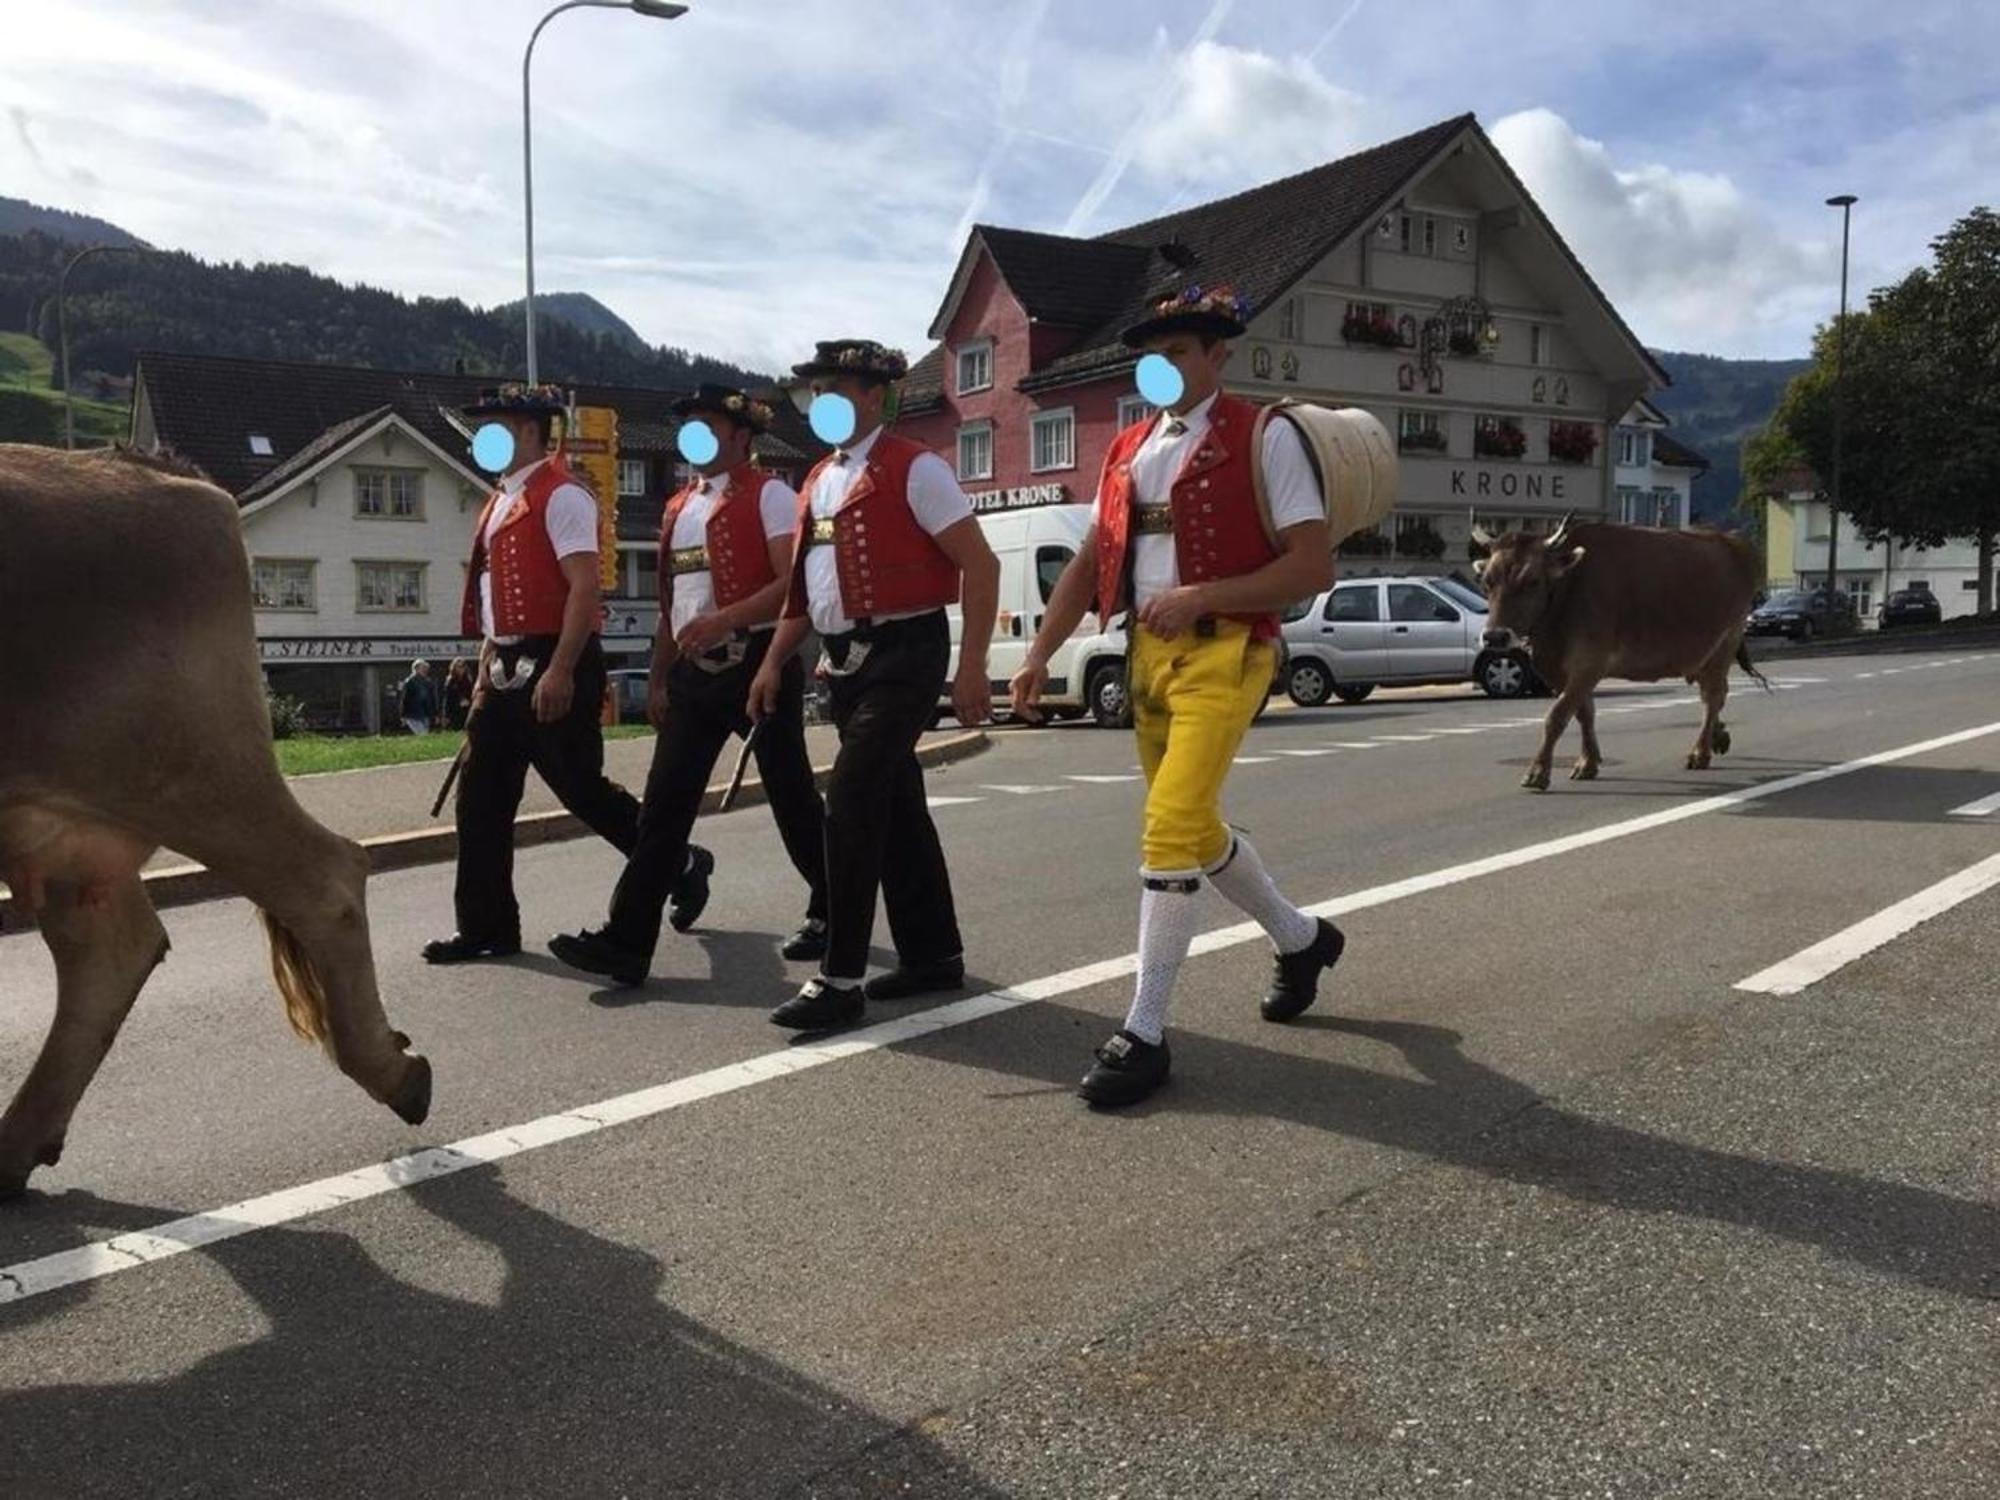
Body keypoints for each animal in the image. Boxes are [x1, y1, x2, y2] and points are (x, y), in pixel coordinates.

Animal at [1472, 516, 1768, 800]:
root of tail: (1732, 540)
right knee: (1716, 693)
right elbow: (1584, 713)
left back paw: (1700, 752)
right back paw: (1718, 736)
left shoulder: (1589, 664)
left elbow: (1557, 716)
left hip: (1727, 640)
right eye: (1487, 582)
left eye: (1532, 581)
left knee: (1712, 696)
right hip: (1704, 653)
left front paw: (1537, 772)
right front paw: (1587, 763)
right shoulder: (1561, 671)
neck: (1567, 592)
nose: (1495, 637)